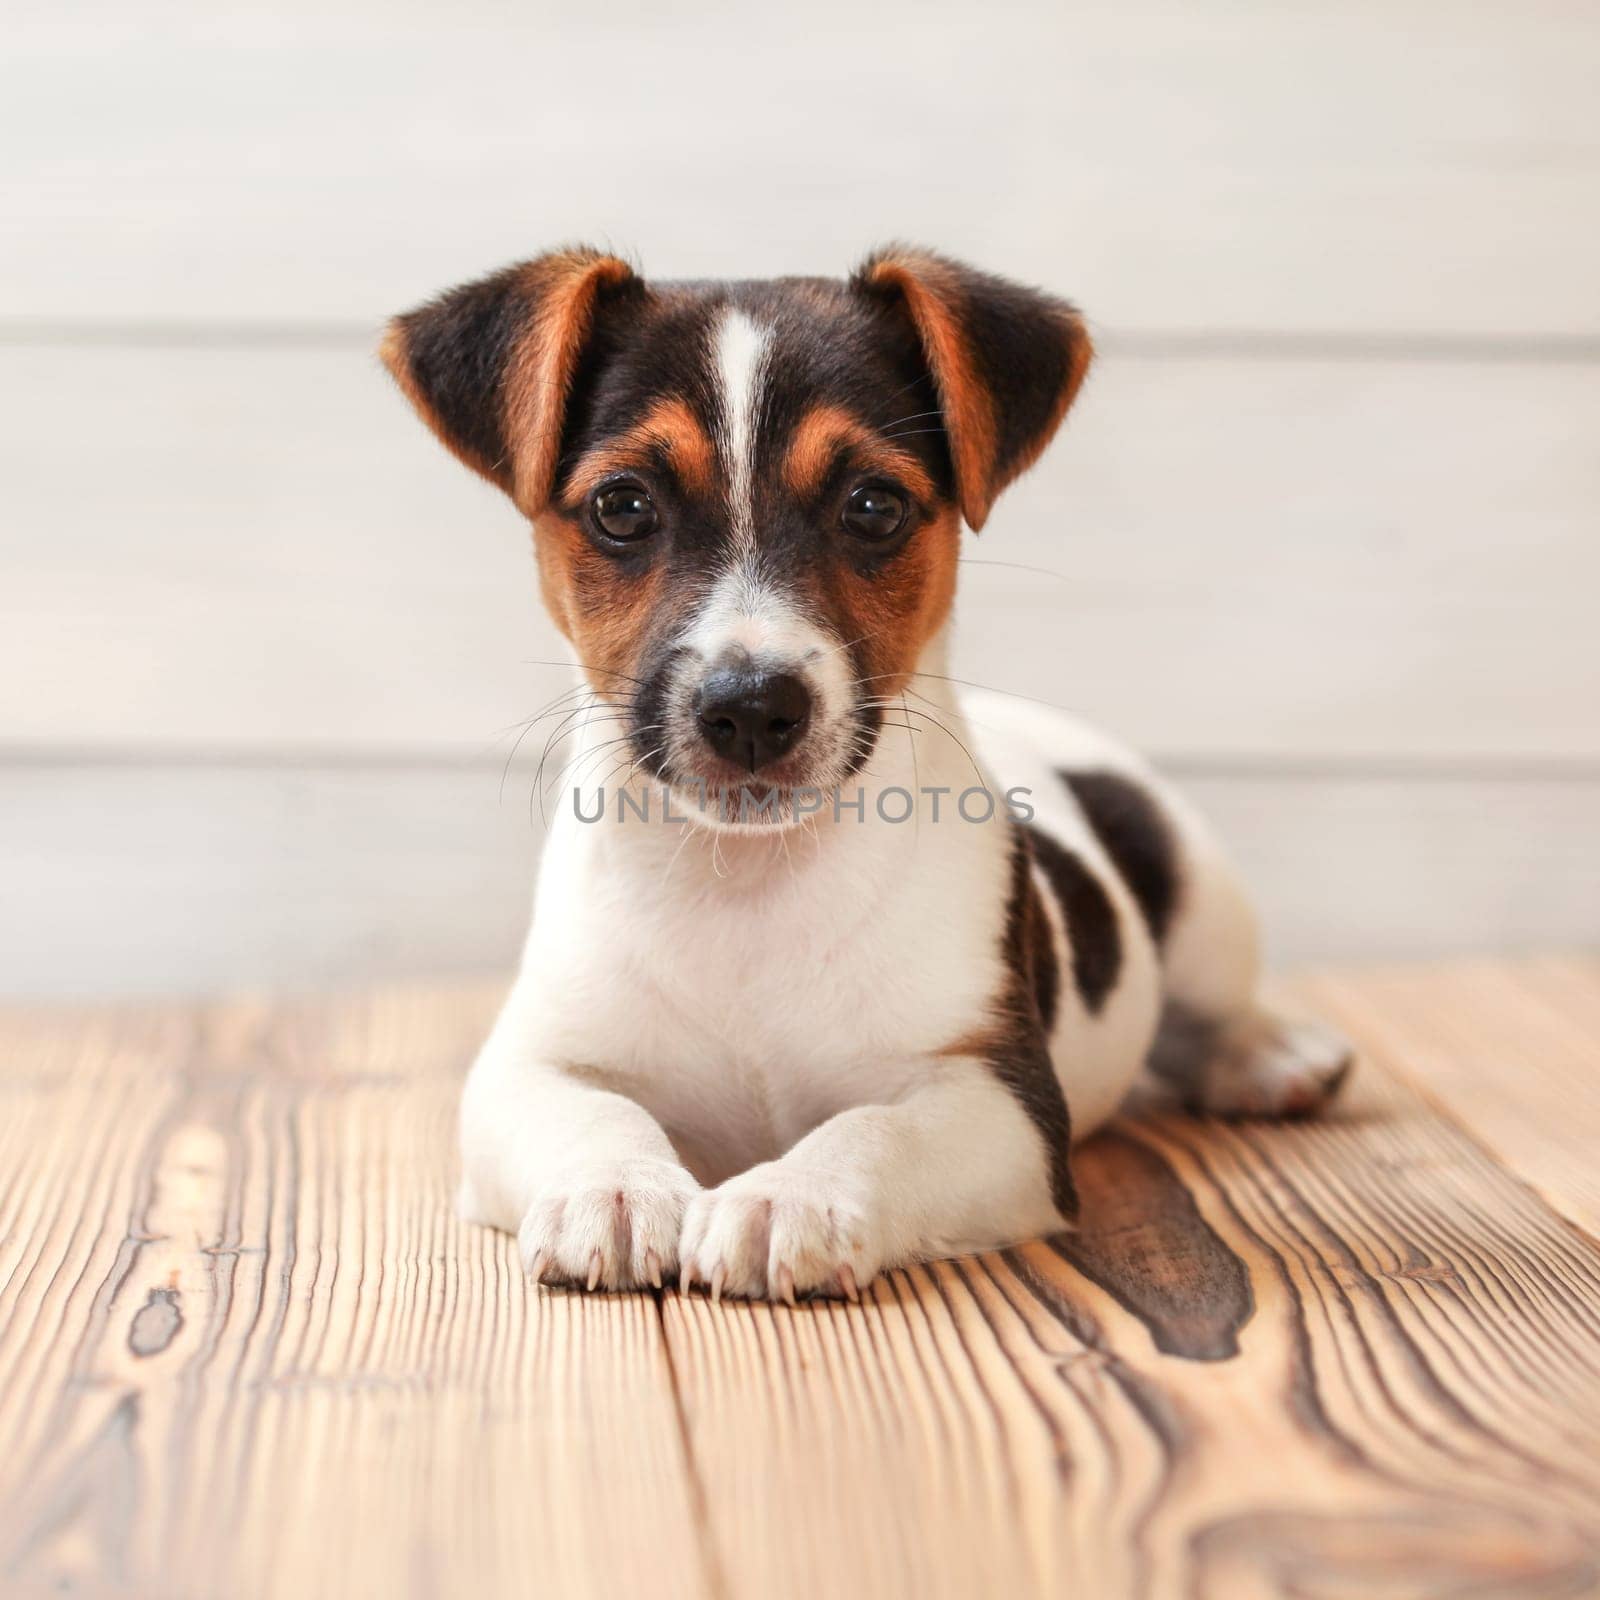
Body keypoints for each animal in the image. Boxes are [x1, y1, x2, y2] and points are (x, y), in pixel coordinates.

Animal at [380, 246, 1356, 1299]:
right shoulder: (531, 1061)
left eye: (874, 508)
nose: (750, 706)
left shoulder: (999, 1098)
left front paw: (787, 1196)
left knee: (1210, 1009)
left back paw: (1272, 1054)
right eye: (622, 506)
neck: (750, 885)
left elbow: (877, 1130)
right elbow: (590, 1111)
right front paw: (614, 1184)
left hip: (1198, 884)